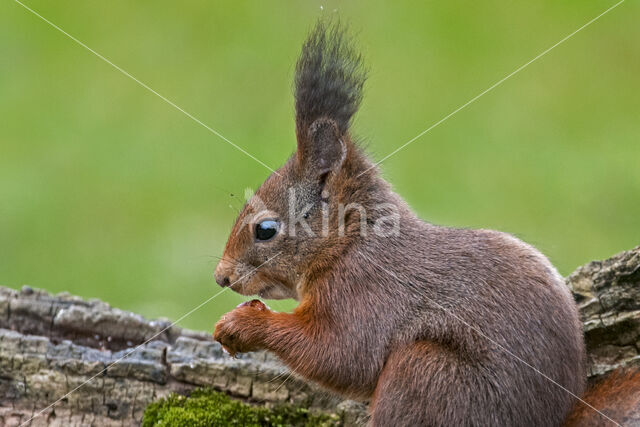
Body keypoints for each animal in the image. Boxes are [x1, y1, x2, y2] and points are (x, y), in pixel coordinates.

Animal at [214, 21, 596, 426]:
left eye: (265, 230)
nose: (221, 277)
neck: (349, 244)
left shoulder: (365, 293)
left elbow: (340, 354)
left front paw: (242, 324)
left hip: (425, 373)